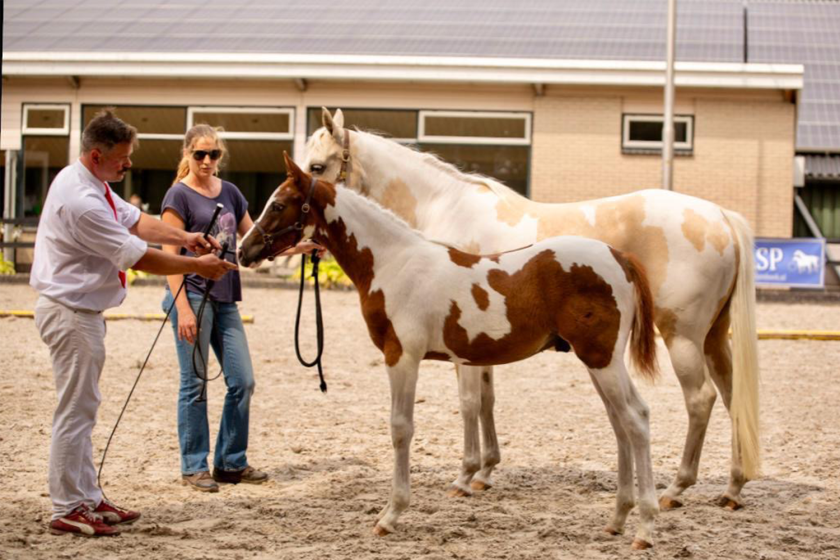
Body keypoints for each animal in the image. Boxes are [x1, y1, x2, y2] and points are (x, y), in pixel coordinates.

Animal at [239, 153, 661, 549]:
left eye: (278, 205)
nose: (245, 251)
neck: (395, 263)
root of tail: (620, 258)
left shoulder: (401, 357)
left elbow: (401, 429)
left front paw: (391, 514)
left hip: (602, 359)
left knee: (635, 421)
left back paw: (645, 527)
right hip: (598, 361)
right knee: (624, 421)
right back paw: (617, 519)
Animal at [302, 108, 760, 511]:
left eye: (317, 166)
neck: (445, 208)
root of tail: (720, 216)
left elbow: (469, 403)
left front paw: (464, 476)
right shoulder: (479, 340)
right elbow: (487, 400)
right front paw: (486, 472)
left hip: (681, 337)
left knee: (700, 400)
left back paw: (676, 489)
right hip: (713, 339)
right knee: (733, 396)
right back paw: (733, 489)